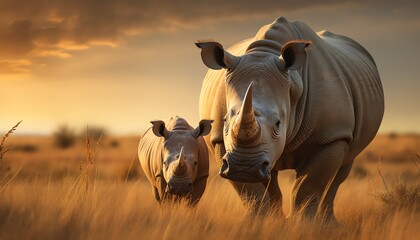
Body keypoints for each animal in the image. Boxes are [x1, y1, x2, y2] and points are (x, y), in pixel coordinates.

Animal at [195, 15, 382, 220]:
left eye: (278, 124)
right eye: (225, 122)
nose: (244, 167)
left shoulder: (331, 135)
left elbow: (307, 188)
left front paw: (303, 224)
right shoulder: (220, 140)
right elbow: (251, 193)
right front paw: (259, 222)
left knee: (341, 171)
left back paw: (329, 222)